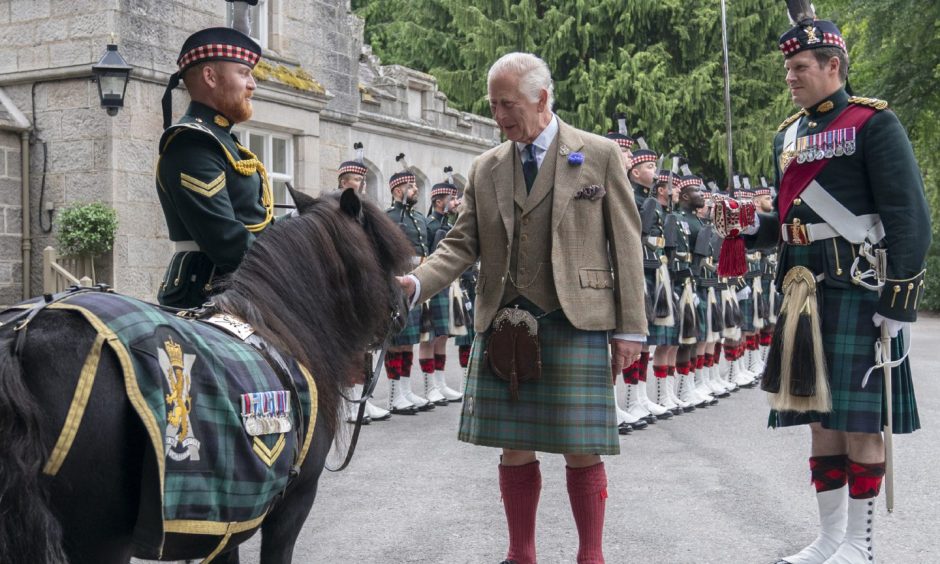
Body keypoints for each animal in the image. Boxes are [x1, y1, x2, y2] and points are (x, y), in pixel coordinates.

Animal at [0, 189, 414, 564]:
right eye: (385, 251)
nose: (407, 299)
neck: (281, 328)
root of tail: (25, 332)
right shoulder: (291, 506)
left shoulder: (229, 521)